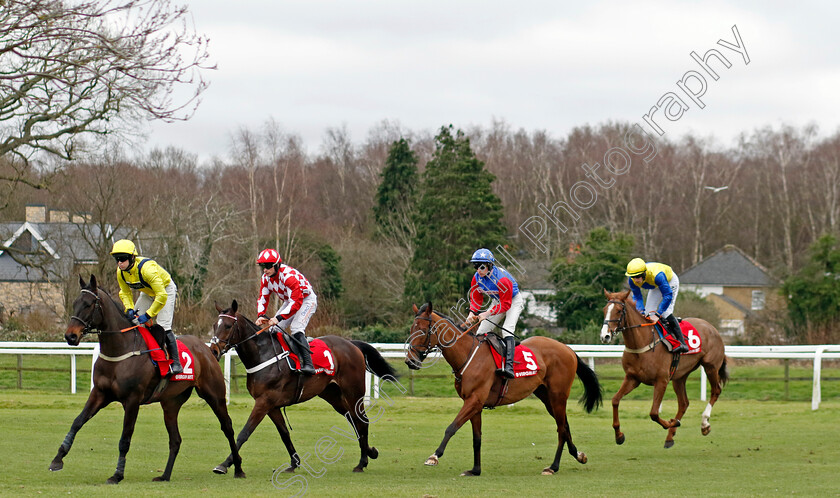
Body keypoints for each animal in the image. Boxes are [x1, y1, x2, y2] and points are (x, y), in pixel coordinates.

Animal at [50, 276, 243, 482]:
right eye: (74, 303)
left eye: (88, 304)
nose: (70, 336)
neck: (120, 349)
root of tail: (207, 349)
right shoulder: (100, 393)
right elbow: (77, 422)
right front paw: (57, 459)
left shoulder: (132, 399)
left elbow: (125, 438)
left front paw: (117, 474)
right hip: (171, 403)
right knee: (175, 439)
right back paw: (165, 475)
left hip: (214, 395)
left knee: (228, 427)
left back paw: (238, 468)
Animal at [207, 300, 398, 474]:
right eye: (214, 325)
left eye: (228, 325)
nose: (214, 350)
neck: (263, 355)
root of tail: (351, 344)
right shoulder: (271, 405)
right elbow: (284, 433)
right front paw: (294, 463)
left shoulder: (264, 402)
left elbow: (244, 432)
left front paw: (224, 464)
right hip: (333, 395)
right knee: (352, 419)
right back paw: (370, 452)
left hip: (353, 392)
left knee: (362, 421)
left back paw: (362, 462)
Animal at [404, 302, 600, 476]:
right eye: (411, 329)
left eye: (423, 330)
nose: (410, 361)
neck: (468, 356)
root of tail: (568, 349)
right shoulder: (474, 404)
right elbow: (477, 438)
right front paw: (475, 470)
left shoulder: (474, 400)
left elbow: (452, 427)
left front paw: (434, 456)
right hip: (547, 397)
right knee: (565, 426)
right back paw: (578, 455)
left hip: (558, 396)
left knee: (561, 429)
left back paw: (553, 466)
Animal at [596, 288, 728, 448]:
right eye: (604, 310)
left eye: (619, 310)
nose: (605, 336)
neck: (642, 343)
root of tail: (712, 328)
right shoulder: (632, 378)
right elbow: (615, 400)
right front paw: (619, 435)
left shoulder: (661, 381)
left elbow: (654, 413)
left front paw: (671, 422)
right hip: (679, 376)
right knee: (684, 403)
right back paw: (670, 437)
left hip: (711, 367)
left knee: (716, 390)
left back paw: (704, 424)